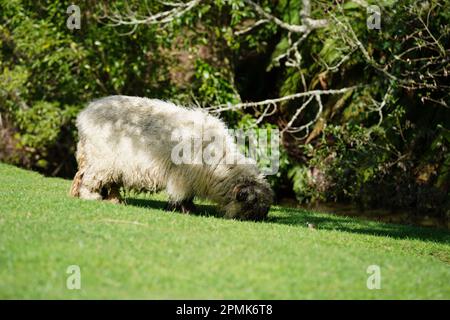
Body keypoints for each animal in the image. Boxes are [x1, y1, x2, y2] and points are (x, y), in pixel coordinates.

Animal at [69, 95, 274, 220]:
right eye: (251, 204)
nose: (259, 220)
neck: (220, 168)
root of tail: (85, 113)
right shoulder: (183, 176)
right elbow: (181, 196)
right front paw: (184, 210)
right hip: (101, 161)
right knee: (89, 180)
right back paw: (91, 197)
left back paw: (114, 200)